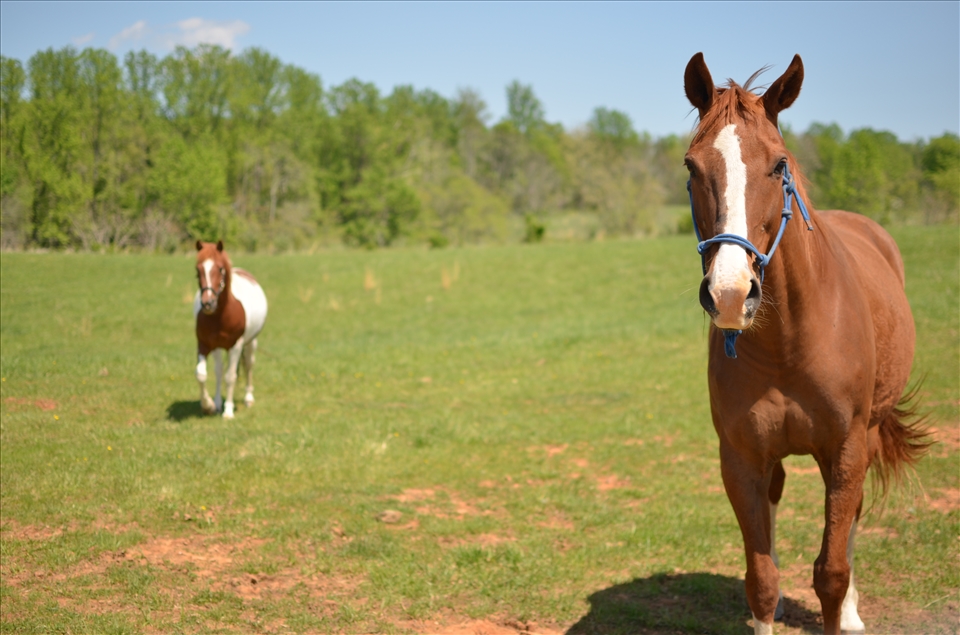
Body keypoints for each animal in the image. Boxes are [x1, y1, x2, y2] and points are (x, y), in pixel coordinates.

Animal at [193, 240, 268, 419]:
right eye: (197, 270)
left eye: (220, 269)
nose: (208, 303)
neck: (220, 316)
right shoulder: (205, 345)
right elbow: (202, 374)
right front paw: (209, 405)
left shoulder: (236, 346)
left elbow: (231, 377)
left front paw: (228, 411)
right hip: (218, 348)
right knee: (219, 370)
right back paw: (217, 402)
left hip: (250, 342)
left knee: (248, 365)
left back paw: (248, 398)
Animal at [682, 53, 929, 635]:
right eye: (691, 166)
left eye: (778, 165)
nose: (731, 293)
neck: (787, 345)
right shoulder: (742, 456)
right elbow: (762, 580)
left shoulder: (845, 450)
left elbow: (831, 574)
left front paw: (845, 608)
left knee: (852, 522)